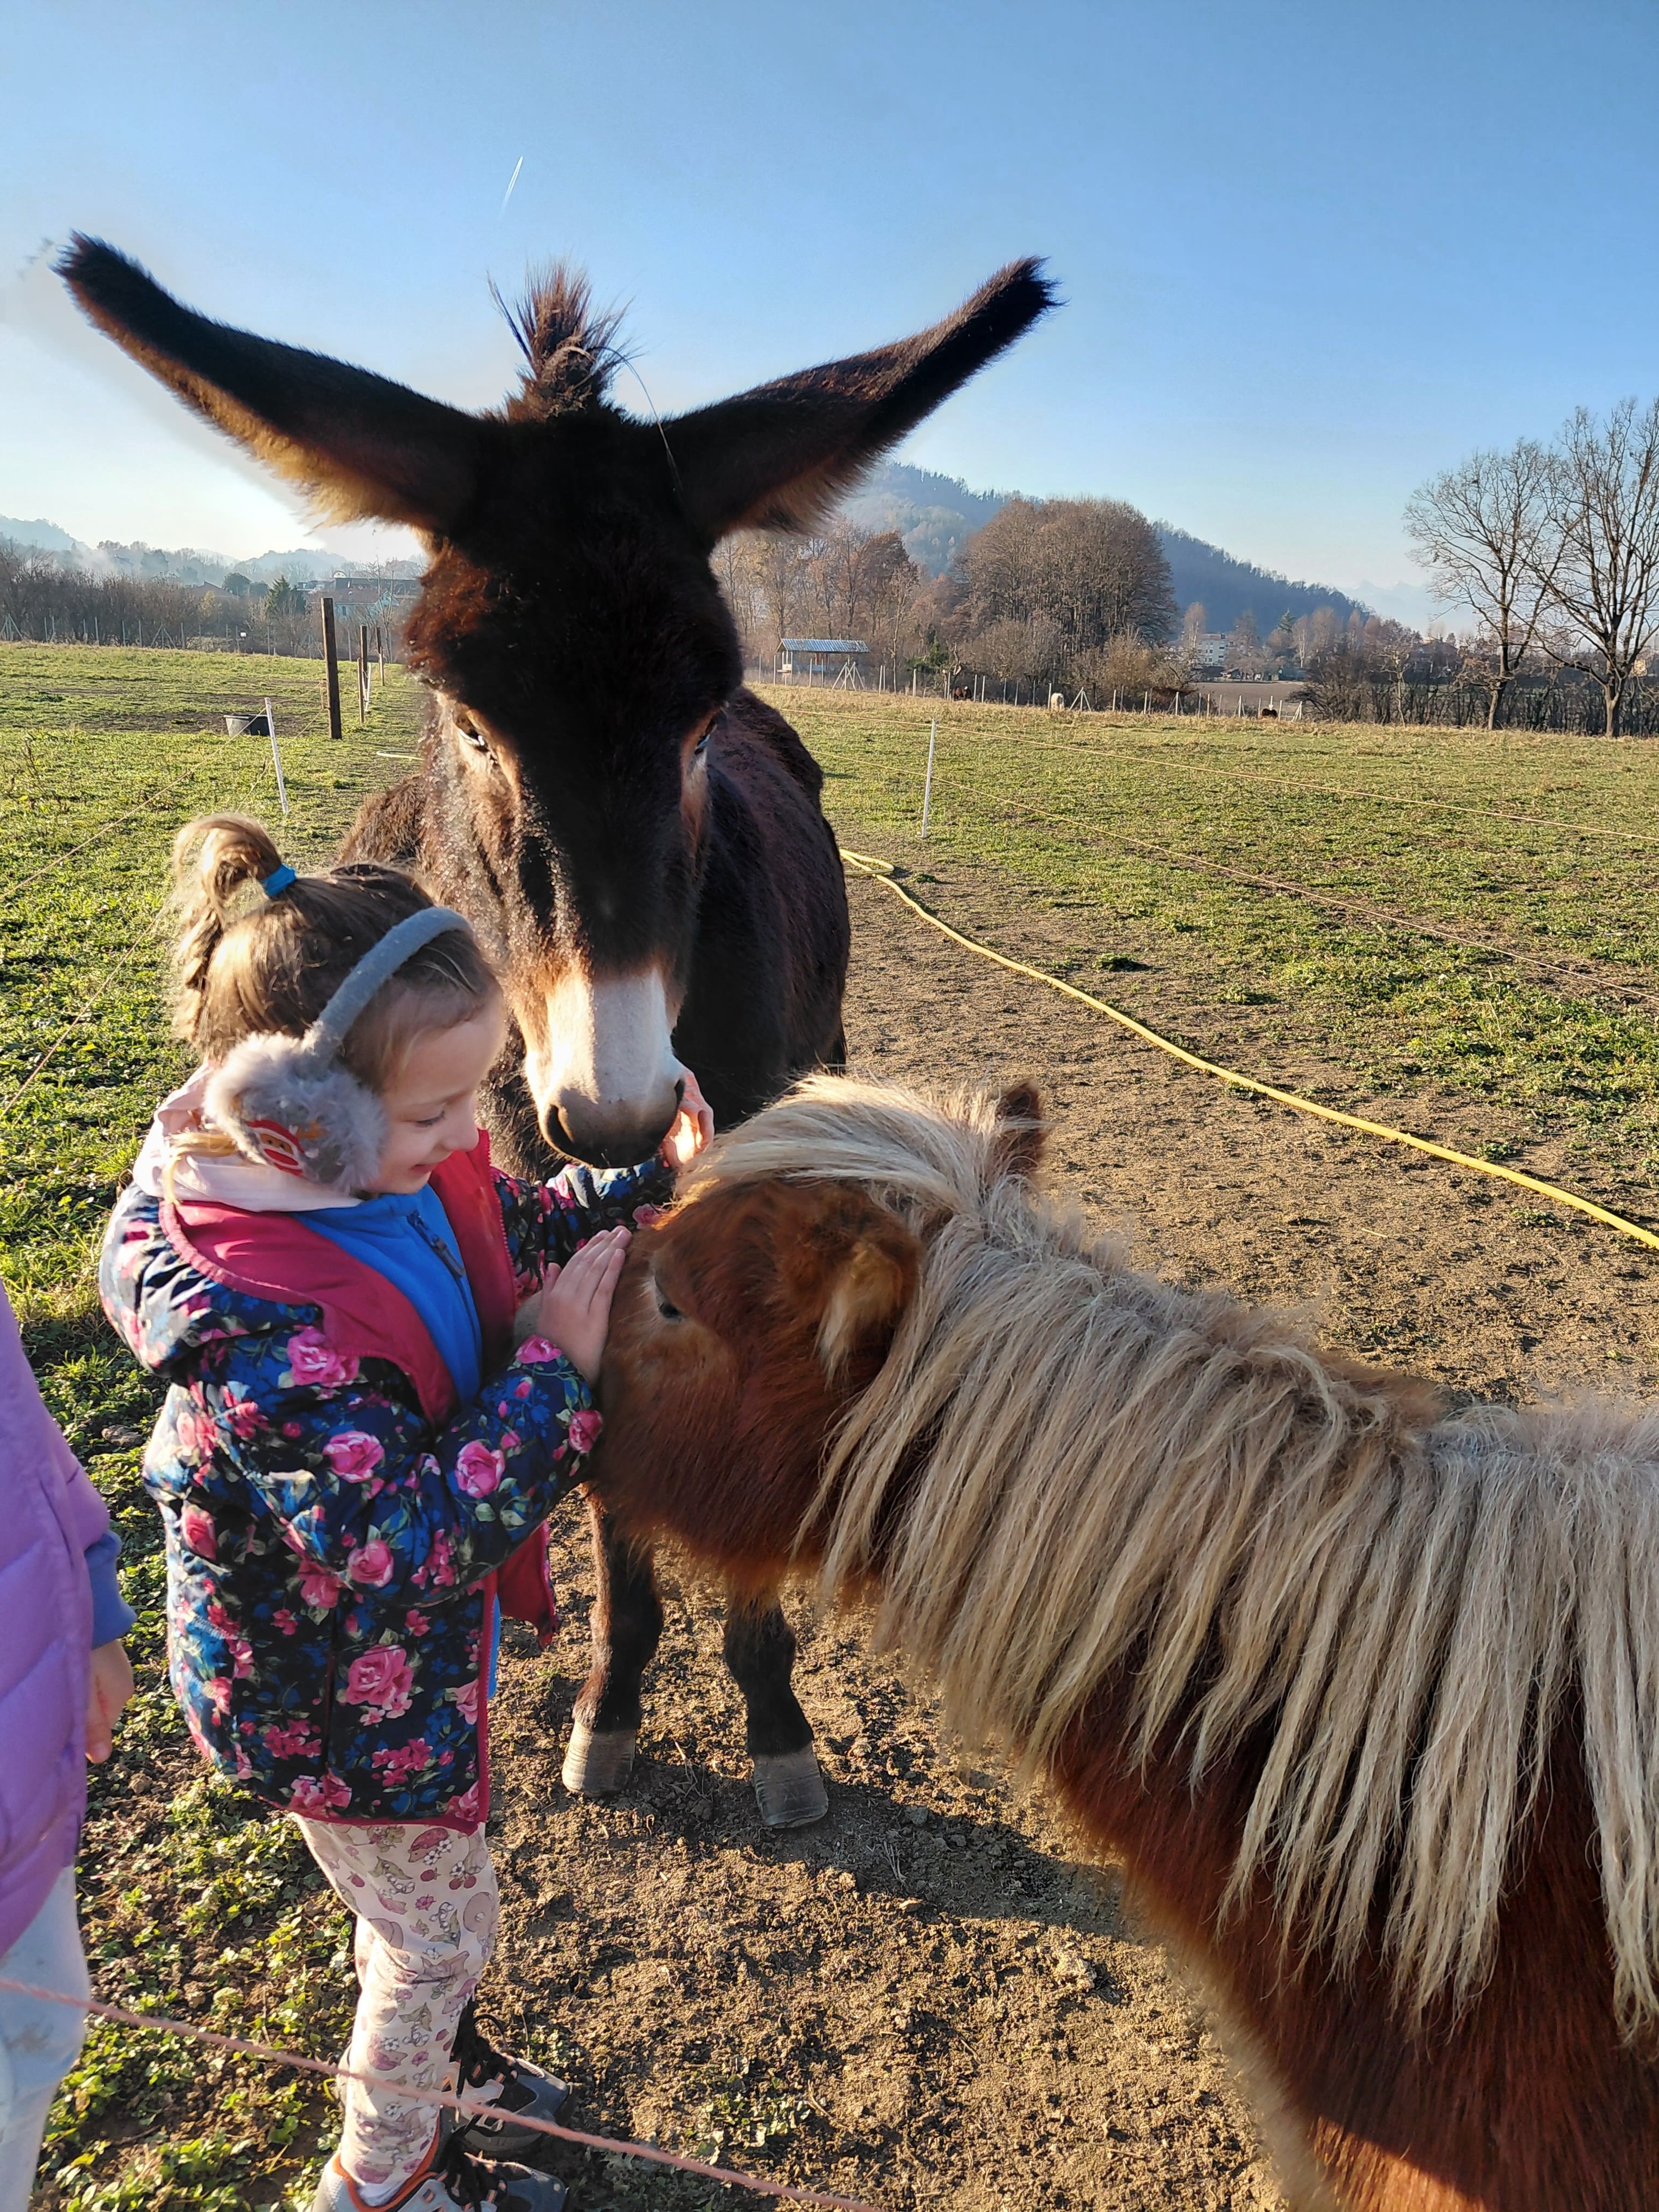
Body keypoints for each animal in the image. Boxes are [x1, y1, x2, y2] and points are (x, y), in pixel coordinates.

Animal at [58, 238, 1055, 1826]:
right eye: (470, 721)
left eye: (702, 721)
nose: (622, 1105)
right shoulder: (555, 1196)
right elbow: (604, 1466)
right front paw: (616, 1698)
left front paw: (772, 1717)